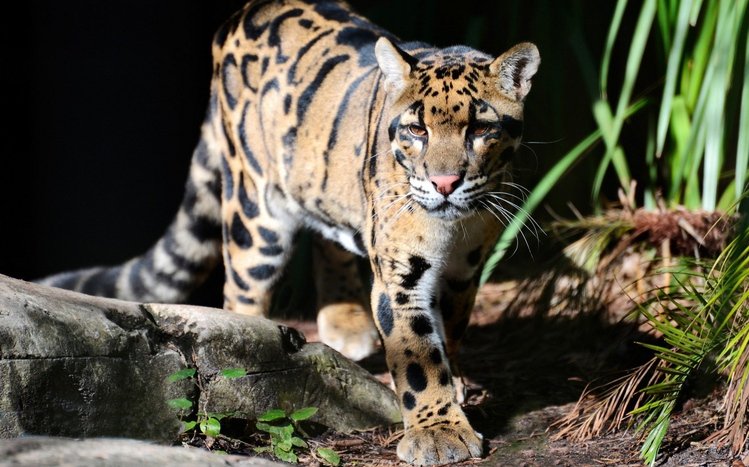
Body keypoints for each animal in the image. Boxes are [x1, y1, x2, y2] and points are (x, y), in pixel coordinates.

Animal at [40, 0, 540, 464]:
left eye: (481, 129)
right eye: (417, 129)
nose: (444, 183)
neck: (454, 228)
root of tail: (247, 10)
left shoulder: (465, 271)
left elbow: (448, 332)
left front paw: (454, 392)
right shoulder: (401, 275)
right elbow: (417, 355)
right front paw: (439, 433)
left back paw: (345, 323)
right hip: (254, 212)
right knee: (241, 293)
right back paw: (250, 355)